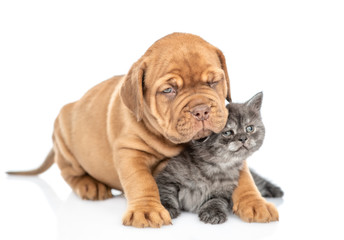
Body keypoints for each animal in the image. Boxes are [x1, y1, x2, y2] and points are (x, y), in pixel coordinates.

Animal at [155, 92, 282, 225]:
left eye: (250, 128)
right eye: (227, 133)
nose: (243, 138)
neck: (216, 168)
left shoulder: (225, 191)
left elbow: (216, 200)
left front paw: (212, 212)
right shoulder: (166, 176)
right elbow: (165, 192)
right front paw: (166, 208)